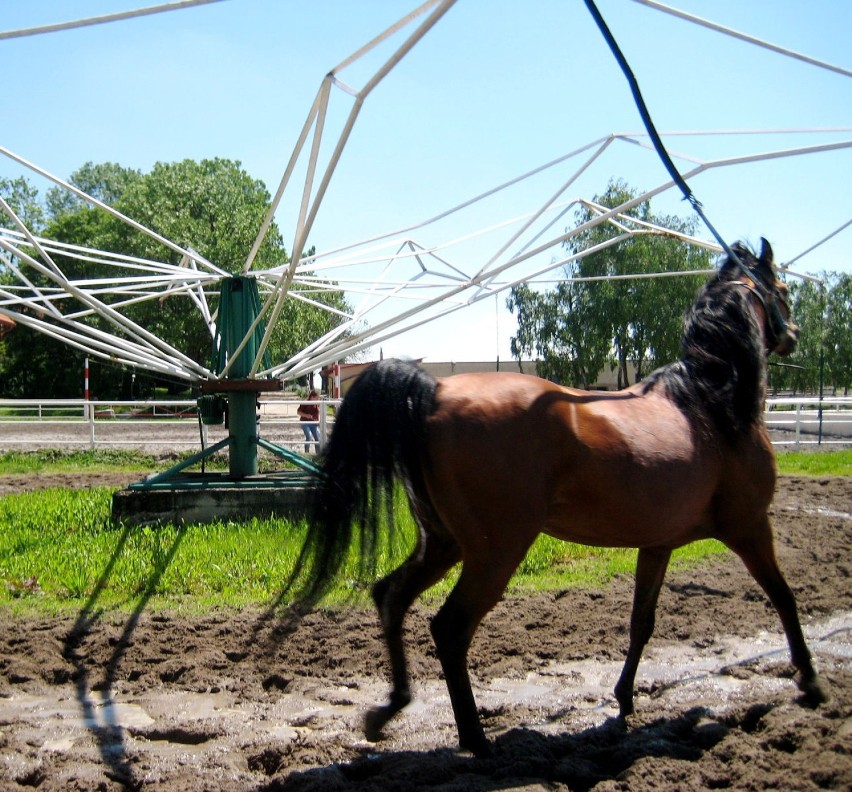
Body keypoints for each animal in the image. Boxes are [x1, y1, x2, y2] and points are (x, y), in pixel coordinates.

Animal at [296, 240, 828, 756]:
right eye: (782, 288)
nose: (795, 333)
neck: (710, 403)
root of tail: (435, 389)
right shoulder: (751, 526)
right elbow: (785, 597)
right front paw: (810, 679)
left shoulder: (657, 545)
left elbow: (642, 621)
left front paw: (624, 698)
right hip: (495, 551)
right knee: (450, 628)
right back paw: (475, 739)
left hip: (444, 542)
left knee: (391, 595)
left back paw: (389, 709)